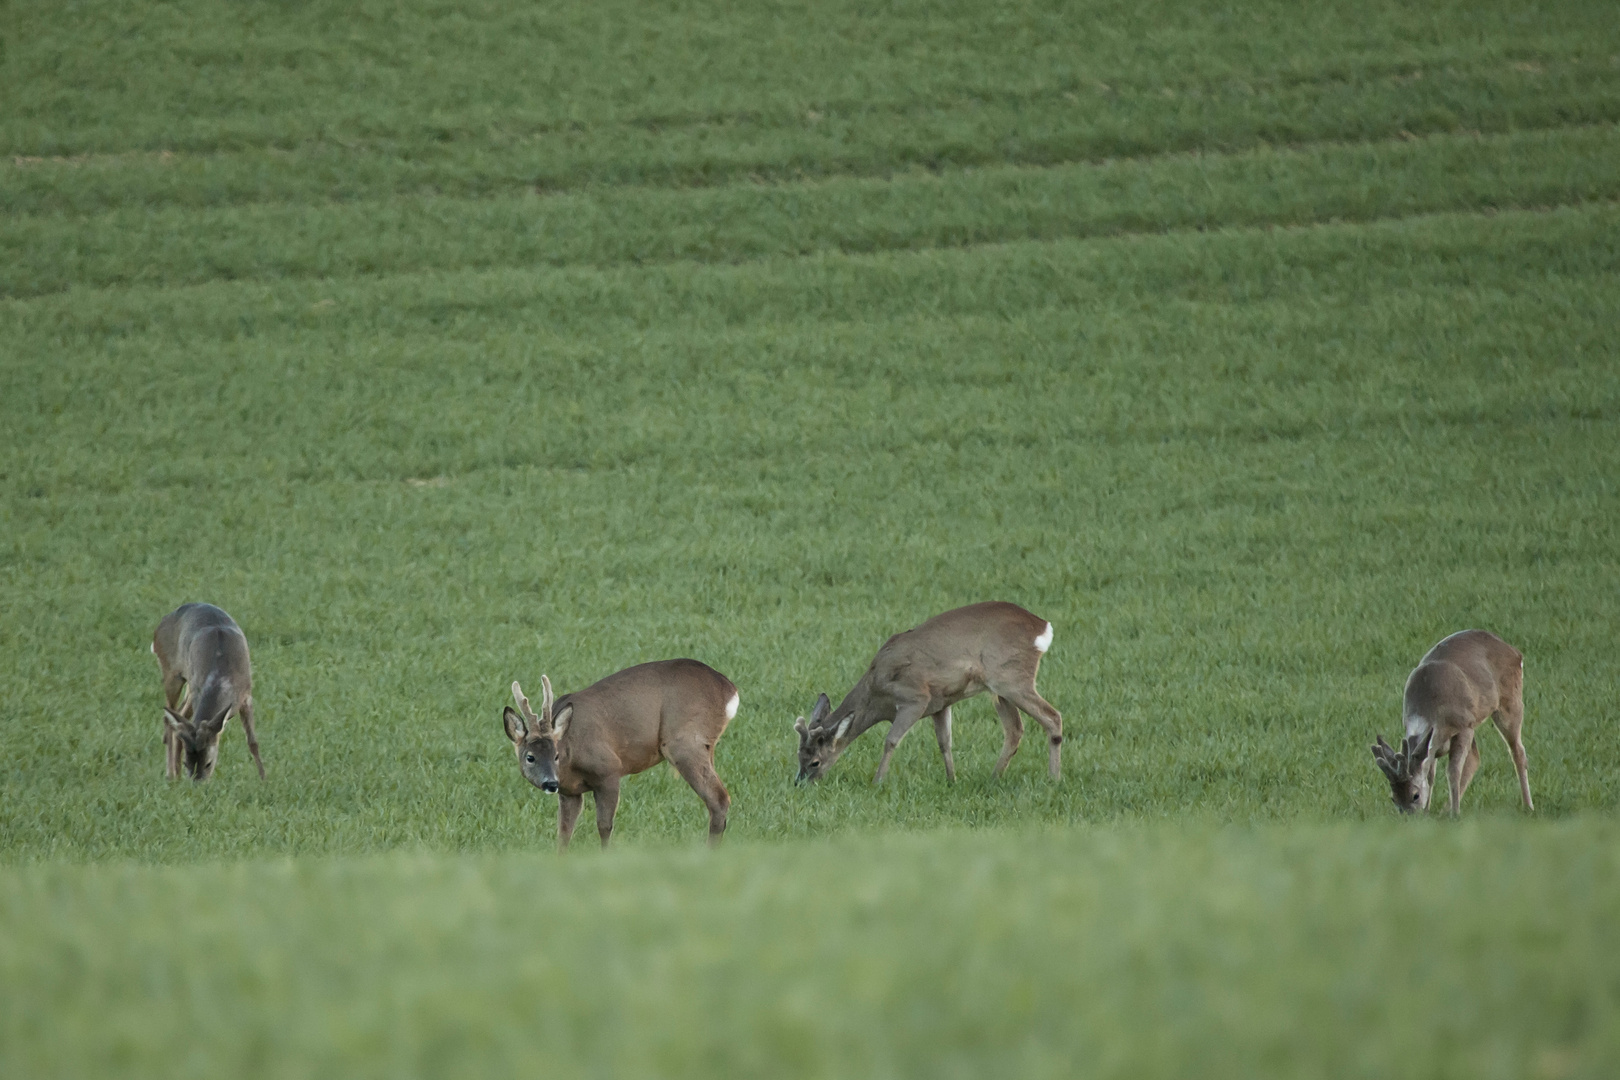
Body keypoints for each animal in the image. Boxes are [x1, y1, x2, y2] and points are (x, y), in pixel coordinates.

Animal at [153, 599, 265, 786]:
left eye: (208, 763)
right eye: (187, 763)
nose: (197, 785)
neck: (222, 676)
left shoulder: (246, 695)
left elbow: (253, 741)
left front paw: (264, 779)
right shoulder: (197, 688)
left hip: (188, 687)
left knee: (178, 717)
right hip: (171, 673)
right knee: (169, 717)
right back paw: (172, 775)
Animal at [498, 660, 741, 854]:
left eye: (556, 755)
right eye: (530, 757)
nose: (550, 783)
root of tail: (731, 691)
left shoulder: (609, 770)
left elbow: (604, 826)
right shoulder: (569, 792)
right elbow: (564, 832)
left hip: (685, 742)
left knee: (718, 798)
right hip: (706, 747)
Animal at [793, 599, 1062, 786]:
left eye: (815, 761)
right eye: (798, 755)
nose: (799, 783)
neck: (876, 694)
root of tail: (1043, 628)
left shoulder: (916, 698)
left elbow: (891, 740)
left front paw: (877, 782)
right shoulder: (941, 704)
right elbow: (945, 743)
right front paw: (952, 780)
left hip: (1012, 679)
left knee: (1053, 717)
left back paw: (1053, 779)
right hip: (999, 690)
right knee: (1015, 730)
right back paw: (994, 778)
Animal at [1367, 628, 1529, 816]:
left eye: (1415, 795)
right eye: (1393, 798)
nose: (1408, 816)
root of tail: (1513, 650)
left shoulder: (1464, 725)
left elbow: (1453, 771)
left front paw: (1455, 813)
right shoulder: (1435, 739)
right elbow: (1430, 774)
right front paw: (1429, 811)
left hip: (1509, 701)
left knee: (1517, 751)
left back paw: (1528, 806)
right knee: (1475, 758)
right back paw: (1445, 809)